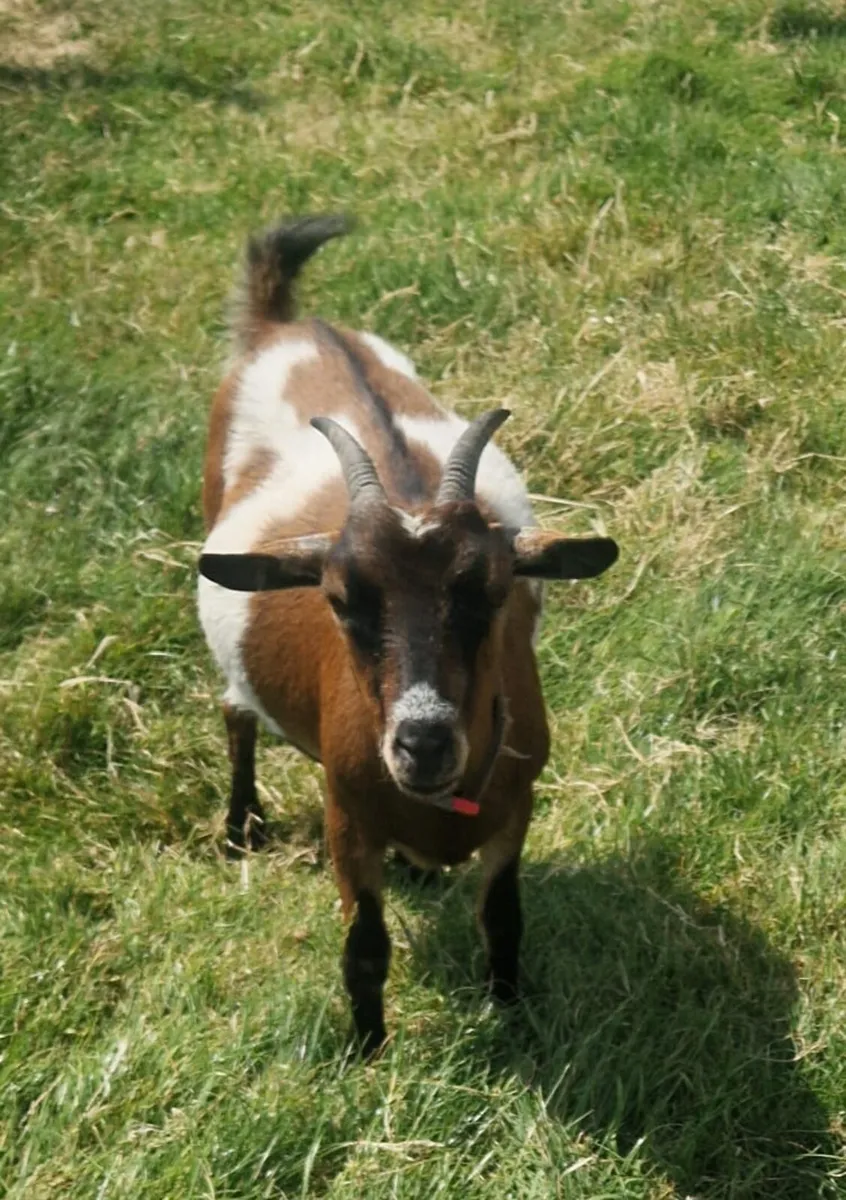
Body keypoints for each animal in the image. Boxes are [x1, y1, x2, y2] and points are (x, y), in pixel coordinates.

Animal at [197, 215, 619, 1054]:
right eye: (340, 600)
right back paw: (241, 829)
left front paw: (510, 1009)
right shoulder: (345, 817)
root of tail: (289, 326)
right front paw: (367, 1048)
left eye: (492, 592)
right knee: (234, 713)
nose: (423, 744)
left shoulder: (517, 810)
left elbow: (503, 918)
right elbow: (365, 947)